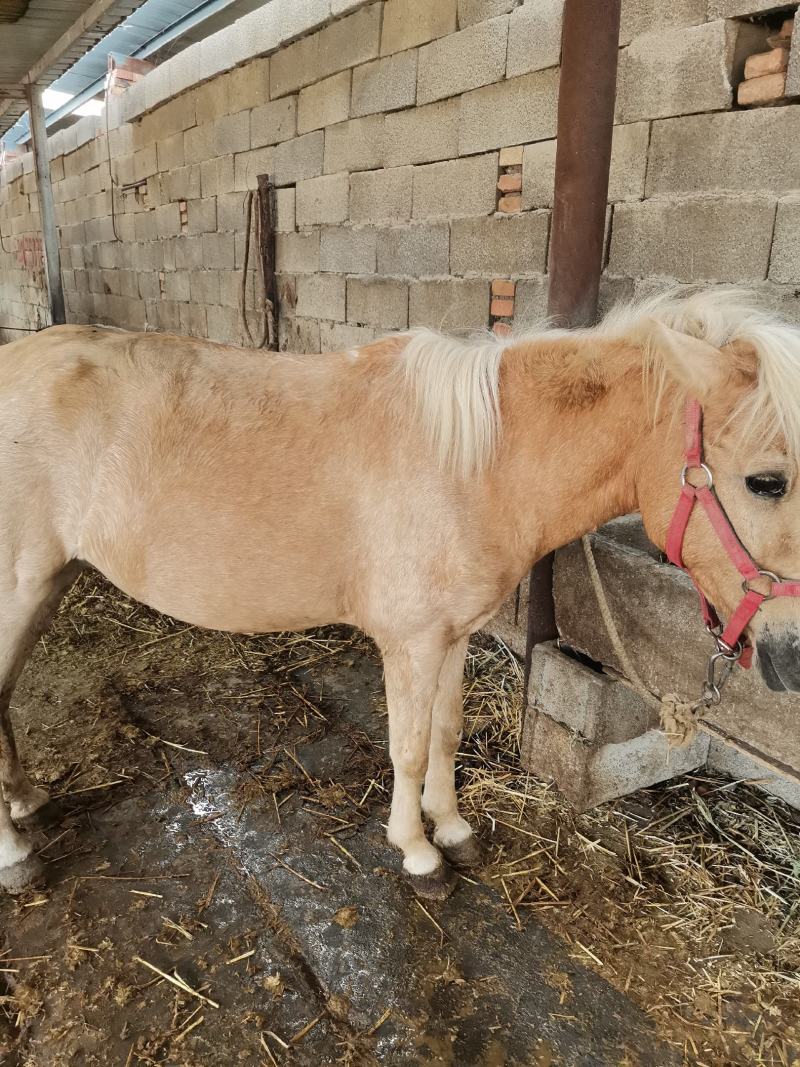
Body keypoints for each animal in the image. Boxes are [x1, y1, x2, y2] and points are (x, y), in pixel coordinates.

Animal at [1, 287, 800, 898]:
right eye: (768, 481)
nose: (789, 658)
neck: (474, 464)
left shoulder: (453, 635)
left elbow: (444, 736)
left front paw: (453, 830)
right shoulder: (411, 642)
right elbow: (409, 748)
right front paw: (417, 853)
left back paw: (24, 802)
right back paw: (15, 852)